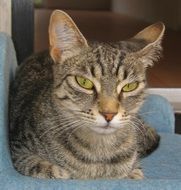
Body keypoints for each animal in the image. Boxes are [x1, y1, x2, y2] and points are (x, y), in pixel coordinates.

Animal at [10, 10, 165, 180]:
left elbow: (134, 171)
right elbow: (47, 169)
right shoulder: (19, 150)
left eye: (130, 86)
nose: (109, 114)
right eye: (84, 82)